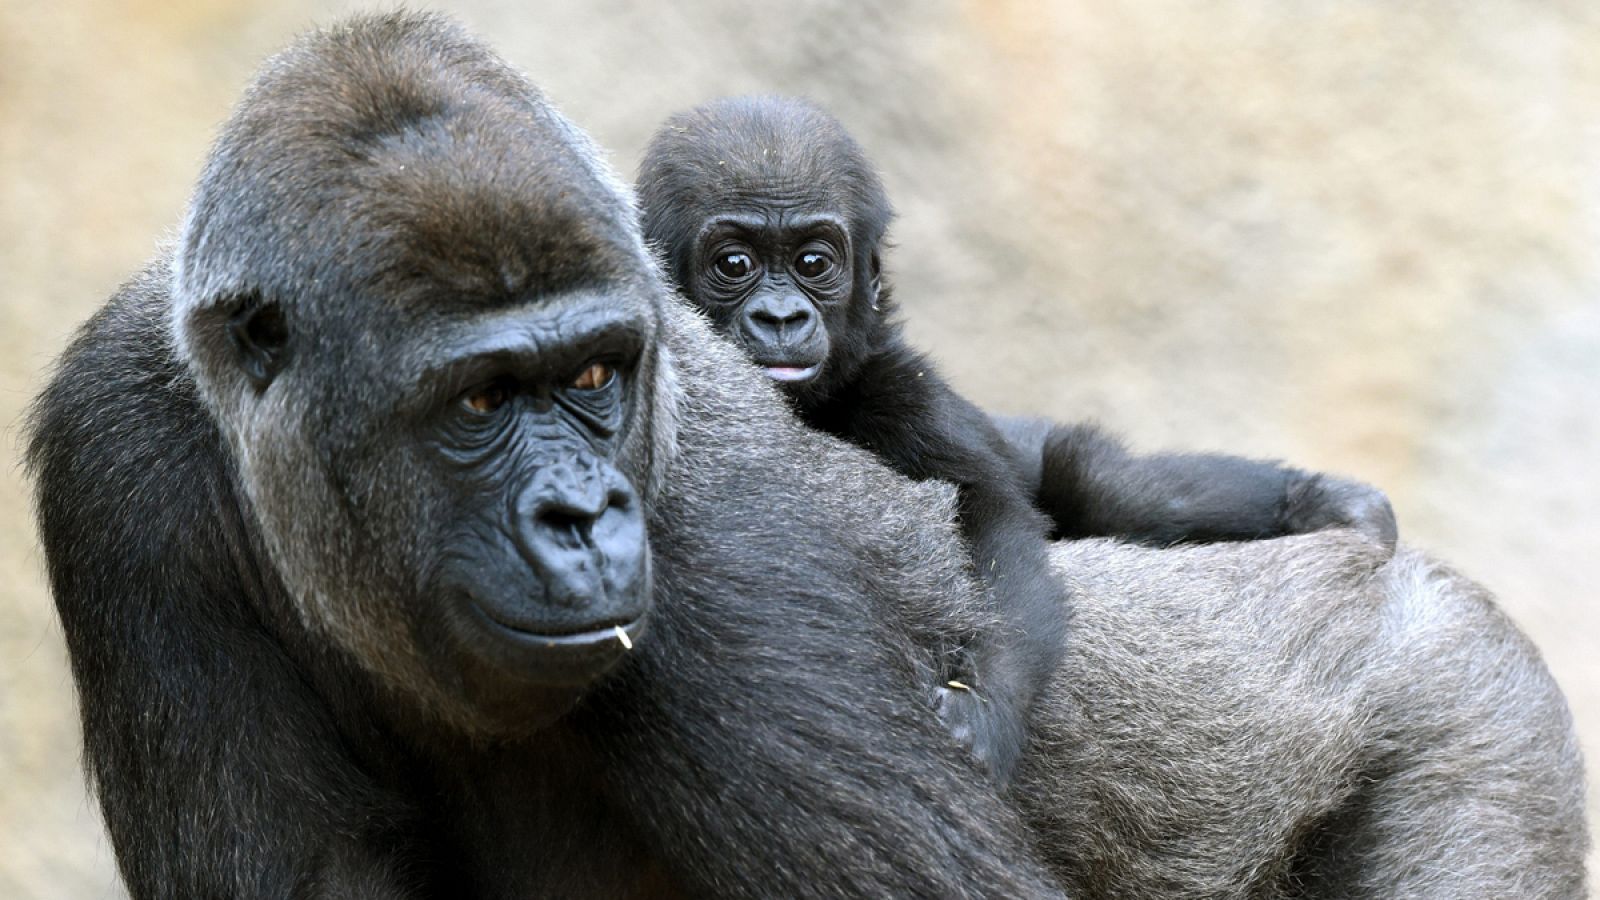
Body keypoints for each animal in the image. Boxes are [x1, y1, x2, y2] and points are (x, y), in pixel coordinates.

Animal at [633, 98, 1388, 781]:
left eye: (815, 262)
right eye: (735, 263)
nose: (782, 317)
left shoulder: (907, 390)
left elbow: (993, 521)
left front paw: (986, 701)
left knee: (1106, 486)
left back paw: (1313, 501)